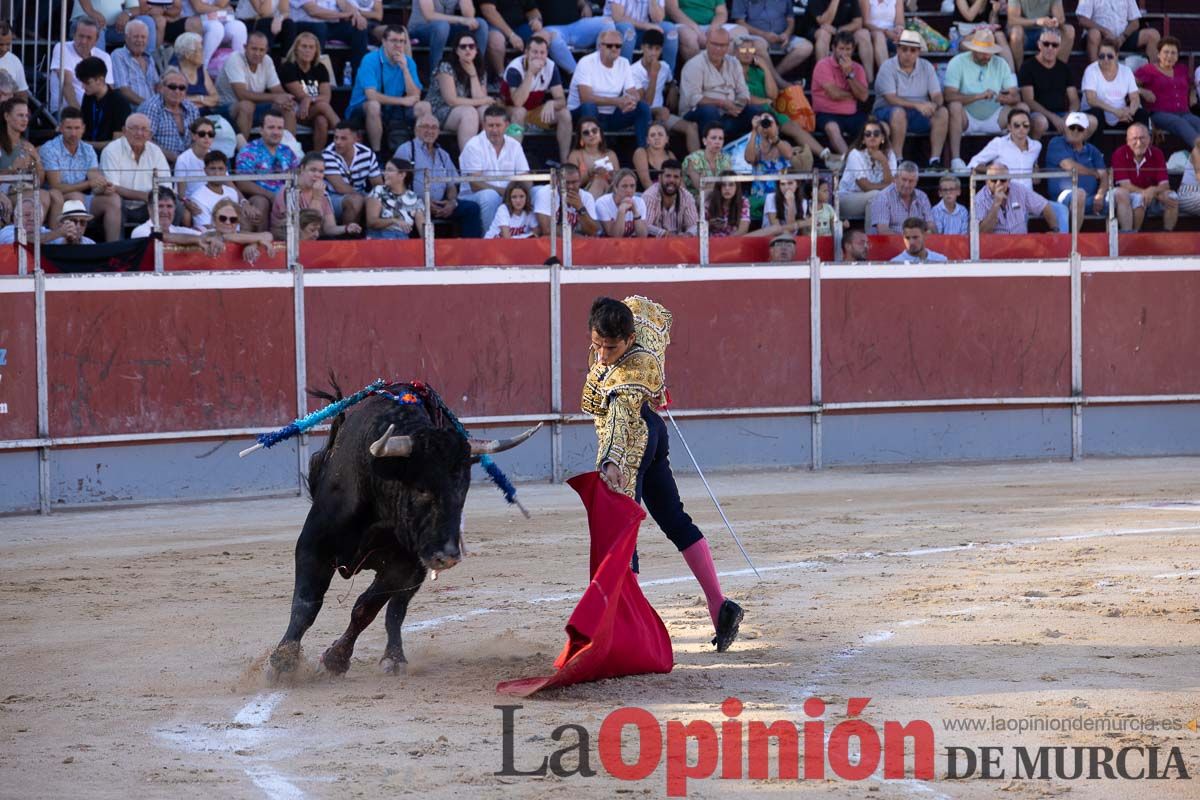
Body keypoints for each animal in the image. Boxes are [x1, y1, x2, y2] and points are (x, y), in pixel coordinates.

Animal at [272, 383, 540, 676]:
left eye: (462, 490)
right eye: (422, 488)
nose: (448, 555)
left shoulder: (405, 564)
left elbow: (367, 607)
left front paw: (336, 658)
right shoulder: (314, 546)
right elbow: (306, 603)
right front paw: (283, 661)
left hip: (417, 569)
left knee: (396, 610)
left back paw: (394, 657)